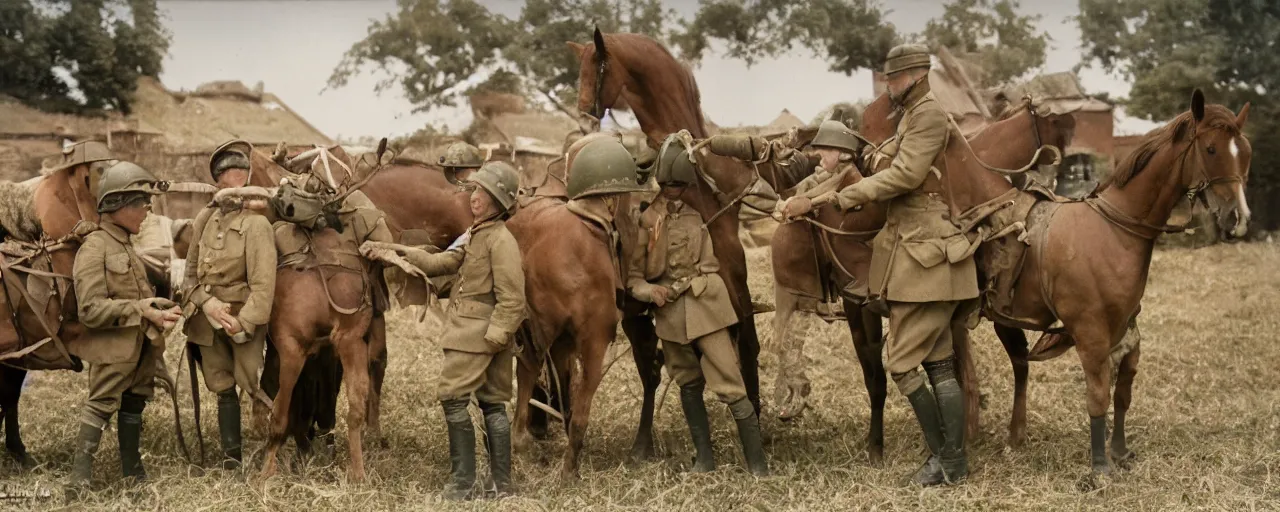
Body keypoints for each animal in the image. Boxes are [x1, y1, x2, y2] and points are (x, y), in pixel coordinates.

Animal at [573, 30, 768, 460]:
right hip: (634, 317)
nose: (583, 119)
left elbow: (745, 349)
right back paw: (642, 444)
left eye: (597, 66)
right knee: (652, 370)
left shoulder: (733, 282)